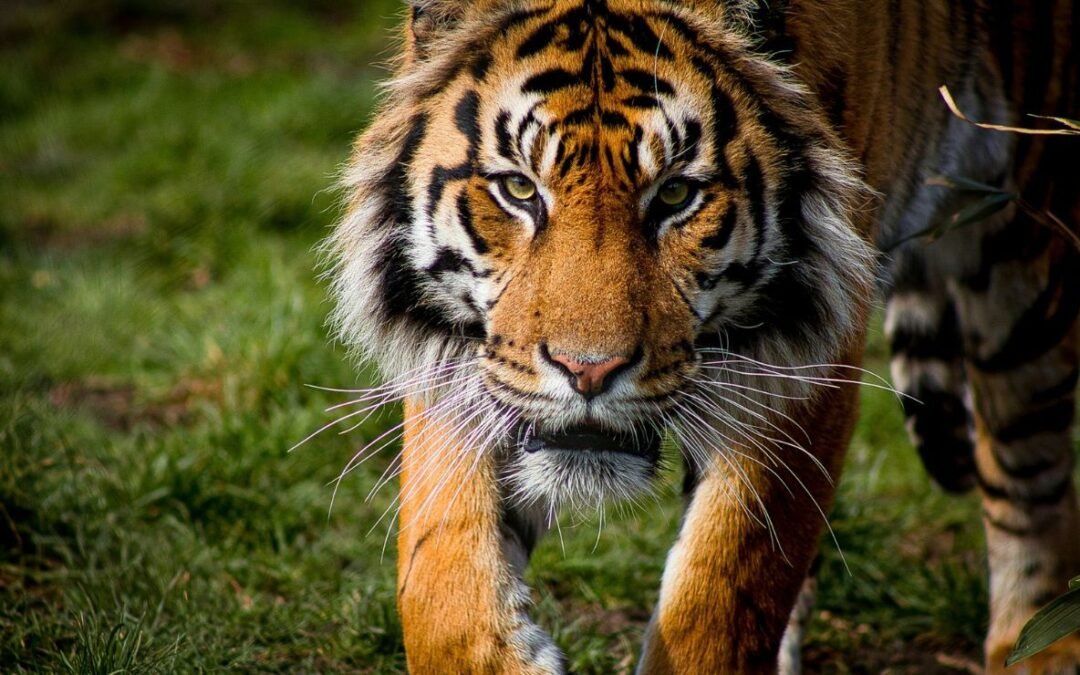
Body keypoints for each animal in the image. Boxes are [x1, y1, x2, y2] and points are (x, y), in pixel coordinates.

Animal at [325, 0, 1080, 672]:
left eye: (675, 195)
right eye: (518, 189)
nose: (588, 370)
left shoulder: (800, 361)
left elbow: (721, 592)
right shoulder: (466, 367)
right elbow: (439, 587)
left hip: (1023, 249)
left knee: (1029, 477)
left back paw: (1036, 647)